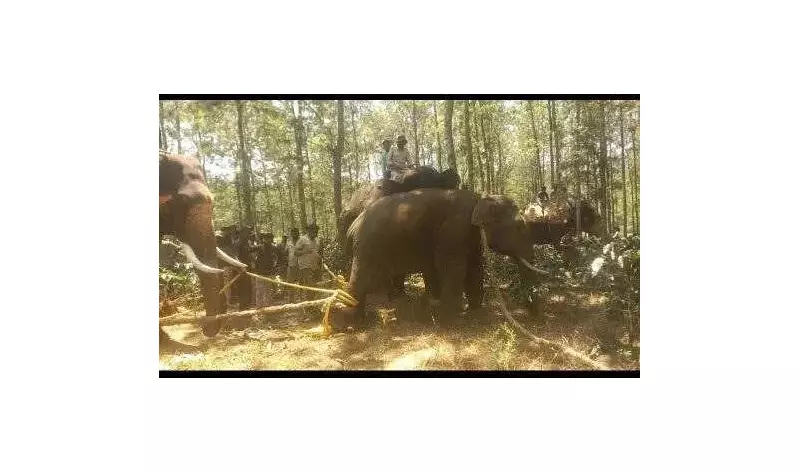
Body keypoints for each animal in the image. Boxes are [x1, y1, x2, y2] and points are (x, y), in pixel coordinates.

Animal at [330, 188, 541, 330]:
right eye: (520, 226)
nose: (534, 317)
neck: (479, 197)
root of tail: (353, 226)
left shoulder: (470, 235)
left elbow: (475, 265)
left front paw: (475, 311)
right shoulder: (455, 229)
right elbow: (452, 266)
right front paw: (454, 318)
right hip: (368, 247)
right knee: (362, 280)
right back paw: (350, 324)